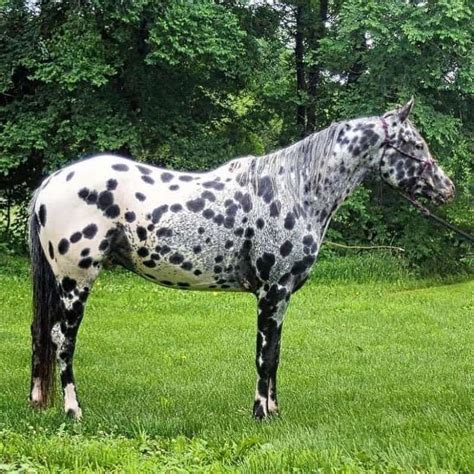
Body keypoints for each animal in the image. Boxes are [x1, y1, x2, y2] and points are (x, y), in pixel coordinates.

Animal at [28, 99, 452, 418]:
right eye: (415, 145)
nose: (448, 188)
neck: (294, 190)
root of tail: (50, 184)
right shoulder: (272, 292)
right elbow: (264, 357)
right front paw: (260, 413)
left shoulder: (281, 296)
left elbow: (275, 354)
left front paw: (274, 411)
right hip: (76, 283)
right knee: (62, 339)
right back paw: (73, 410)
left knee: (43, 336)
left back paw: (39, 401)